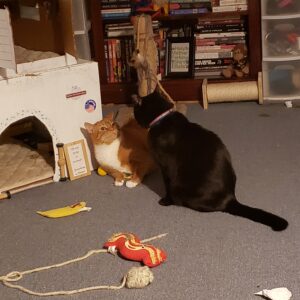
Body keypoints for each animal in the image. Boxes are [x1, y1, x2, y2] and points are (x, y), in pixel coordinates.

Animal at [133, 90, 288, 231]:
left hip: (180, 188)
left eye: (135, 111)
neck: (162, 119)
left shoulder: (165, 168)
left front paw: (165, 201)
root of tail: (230, 198)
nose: (133, 117)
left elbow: (167, 186)